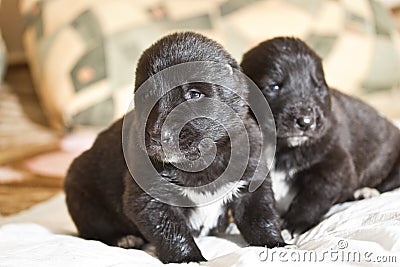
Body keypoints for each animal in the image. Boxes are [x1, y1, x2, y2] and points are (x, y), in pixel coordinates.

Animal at [65, 31, 284, 264]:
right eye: (145, 97)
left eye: (195, 94)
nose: (157, 134)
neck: (203, 161)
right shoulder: (151, 199)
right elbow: (172, 230)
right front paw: (189, 258)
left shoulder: (251, 183)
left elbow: (261, 217)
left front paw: (276, 244)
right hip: (82, 194)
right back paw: (124, 239)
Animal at [241, 37, 400, 234]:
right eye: (274, 86)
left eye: (318, 88)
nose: (306, 121)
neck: (283, 148)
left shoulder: (334, 164)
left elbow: (313, 197)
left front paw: (294, 224)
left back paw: (366, 191)